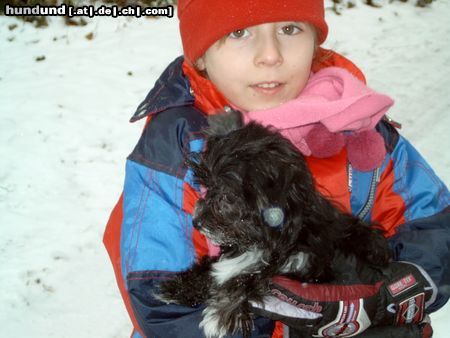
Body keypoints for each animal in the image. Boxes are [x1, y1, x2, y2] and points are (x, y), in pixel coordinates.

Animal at [157, 110, 390, 338]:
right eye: (207, 186)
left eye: (227, 196)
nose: (196, 222)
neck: (261, 238)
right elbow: (217, 267)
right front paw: (180, 287)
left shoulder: (307, 264)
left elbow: (254, 277)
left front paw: (220, 314)